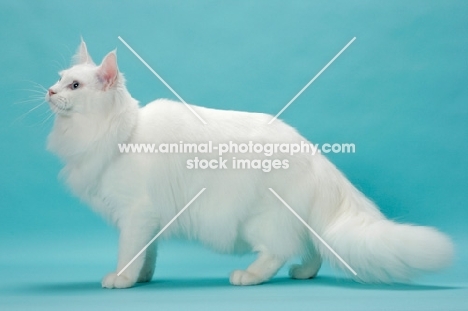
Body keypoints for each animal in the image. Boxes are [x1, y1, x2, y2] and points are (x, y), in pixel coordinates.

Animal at [46, 40, 454, 290]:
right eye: (59, 79)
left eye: (75, 86)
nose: (49, 92)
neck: (117, 133)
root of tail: (316, 156)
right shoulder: (151, 218)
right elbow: (148, 254)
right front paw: (143, 277)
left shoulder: (136, 213)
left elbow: (129, 252)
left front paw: (123, 278)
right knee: (312, 248)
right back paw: (303, 274)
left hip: (261, 219)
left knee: (279, 250)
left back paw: (250, 275)